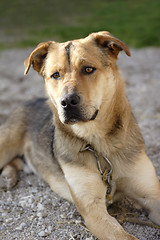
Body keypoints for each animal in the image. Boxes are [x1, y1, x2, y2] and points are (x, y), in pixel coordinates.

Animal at [0, 31, 160, 240]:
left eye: (88, 69)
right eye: (55, 75)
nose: (67, 102)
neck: (99, 143)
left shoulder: (152, 196)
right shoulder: (93, 210)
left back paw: (8, 177)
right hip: (5, 144)